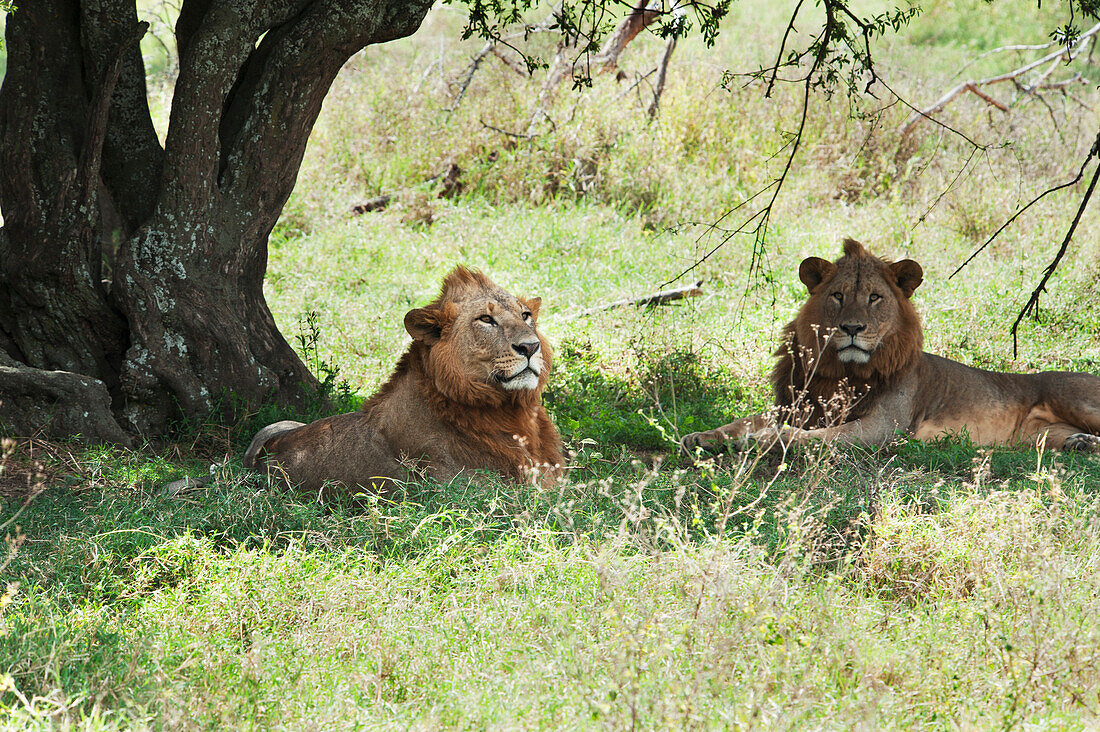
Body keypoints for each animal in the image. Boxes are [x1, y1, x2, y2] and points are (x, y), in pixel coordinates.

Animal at [677, 239, 1100, 453]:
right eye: (838, 295)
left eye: (875, 298)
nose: (851, 327)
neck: (843, 371)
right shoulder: (799, 404)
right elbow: (745, 419)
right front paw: (703, 436)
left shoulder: (883, 426)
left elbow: (816, 437)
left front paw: (769, 439)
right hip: (1037, 435)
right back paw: (1081, 443)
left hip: (1074, 397)